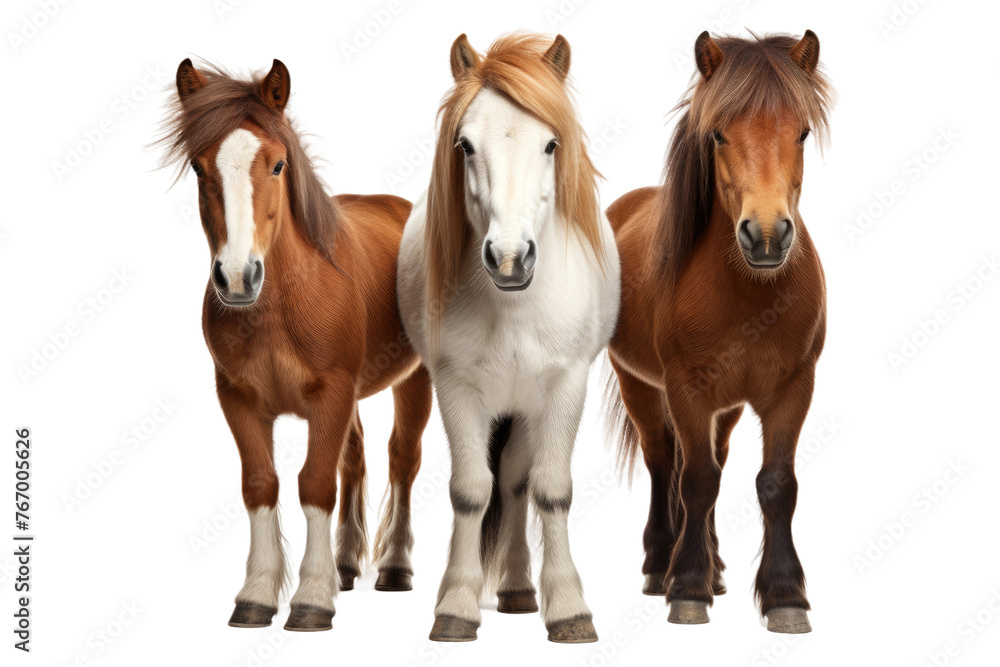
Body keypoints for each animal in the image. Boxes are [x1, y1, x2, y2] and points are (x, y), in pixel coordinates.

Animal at [159, 59, 432, 631]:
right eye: (198, 168)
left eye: (279, 165)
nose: (237, 278)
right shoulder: (238, 399)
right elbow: (261, 484)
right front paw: (257, 593)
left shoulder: (331, 395)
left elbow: (315, 484)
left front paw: (310, 598)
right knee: (357, 458)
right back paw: (346, 565)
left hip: (416, 378)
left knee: (403, 458)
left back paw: (394, 567)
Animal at [397, 33, 620, 643]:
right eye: (465, 145)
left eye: (550, 144)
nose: (509, 258)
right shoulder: (455, 387)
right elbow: (471, 491)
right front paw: (455, 605)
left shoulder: (565, 386)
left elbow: (551, 489)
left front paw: (569, 608)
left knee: (519, 483)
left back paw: (521, 589)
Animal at [604, 31, 831, 633]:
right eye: (719, 134)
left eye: (802, 131)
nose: (767, 236)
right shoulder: (688, 387)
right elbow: (696, 480)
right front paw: (686, 587)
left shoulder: (792, 388)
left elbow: (775, 484)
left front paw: (785, 596)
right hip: (639, 384)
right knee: (664, 460)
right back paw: (660, 565)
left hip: (726, 407)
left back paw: (717, 567)